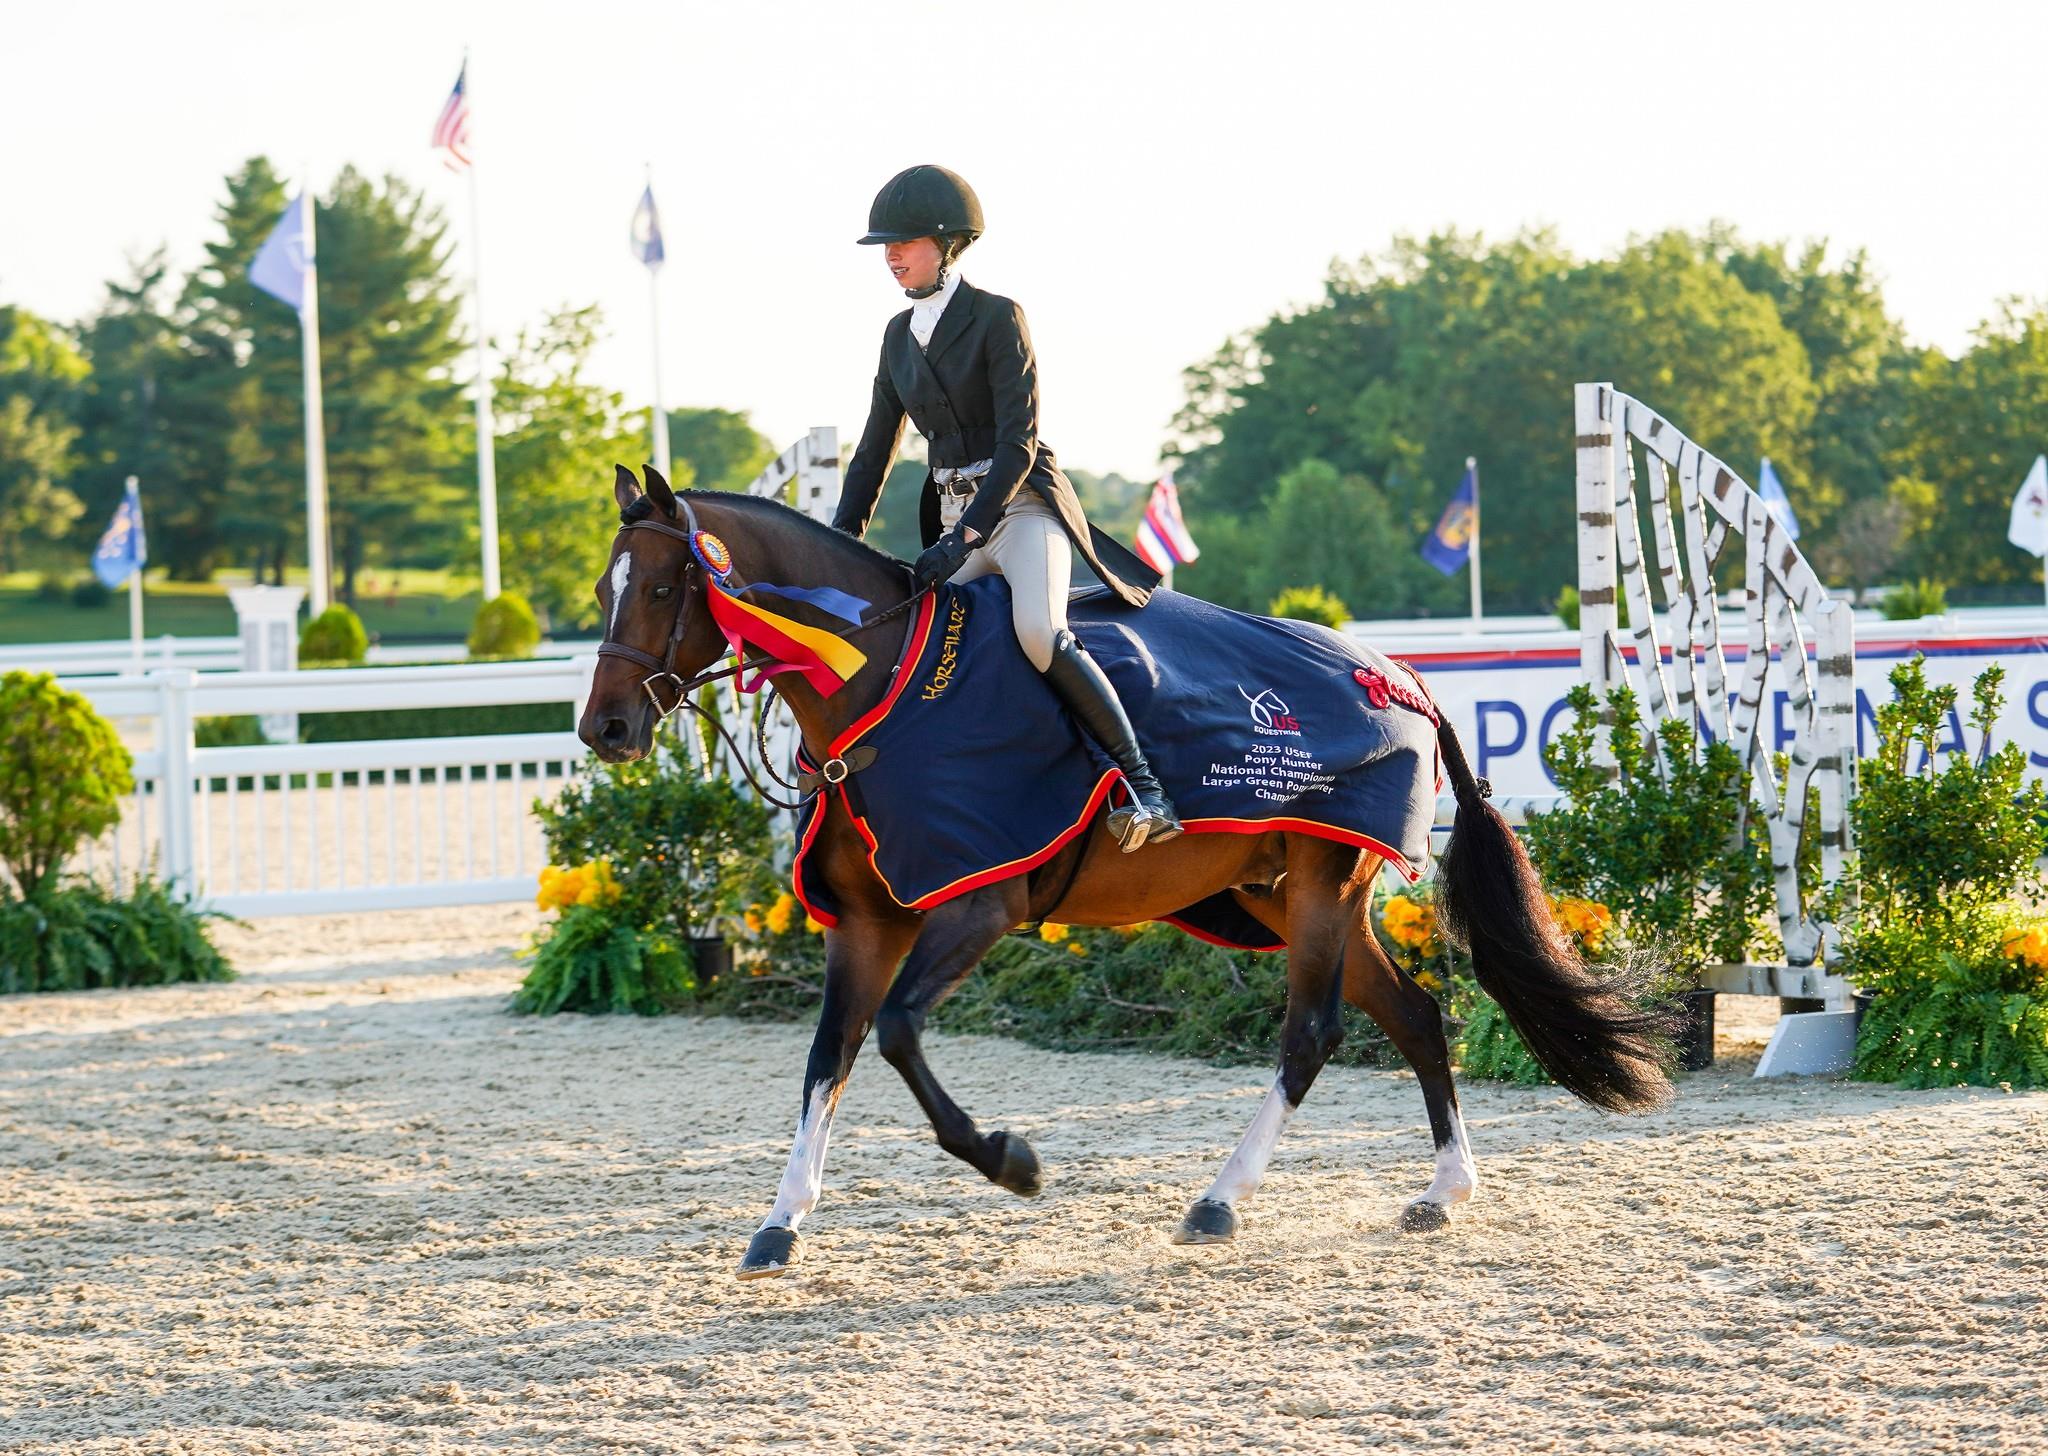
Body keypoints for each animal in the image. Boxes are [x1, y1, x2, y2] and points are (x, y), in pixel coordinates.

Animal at [579, 466, 1672, 1279]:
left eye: (667, 587)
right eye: (602, 592)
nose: (605, 730)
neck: (884, 684)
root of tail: (1396, 675)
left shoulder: (975, 905)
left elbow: (894, 1036)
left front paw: (1010, 1162)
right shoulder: (866, 924)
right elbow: (828, 1058)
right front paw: (781, 1222)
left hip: (1321, 888)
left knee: (1311, 1035)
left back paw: (1219, 1201)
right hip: (1282, 896)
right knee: (1414, 1013)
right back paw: (1443, 1192)